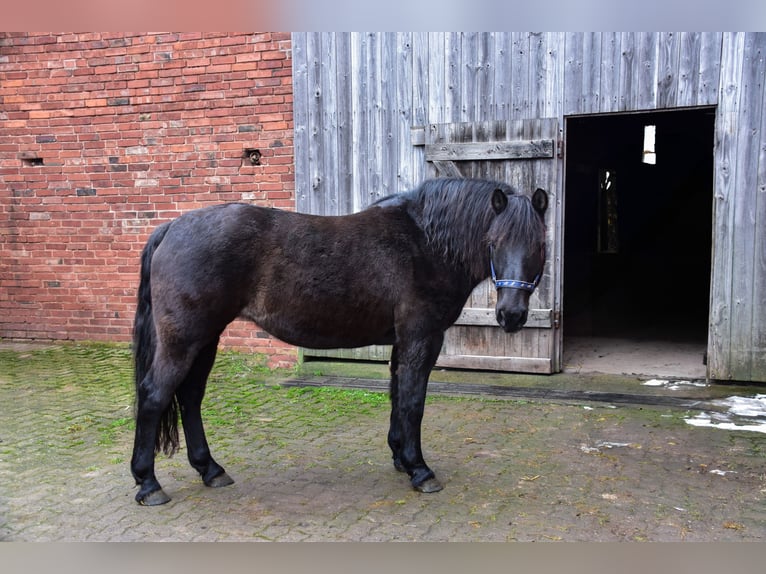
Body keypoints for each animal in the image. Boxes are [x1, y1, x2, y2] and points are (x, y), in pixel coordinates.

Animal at [130, 178, 544, 506]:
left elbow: (397, 396)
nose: (511, 315)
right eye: (494, 241)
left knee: (190, 397)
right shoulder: (422, 337)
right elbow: (413, 402)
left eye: (539, 244)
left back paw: (210, 469)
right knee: (154, 395)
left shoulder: (402, 342)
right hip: (184, 339)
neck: (424, 244)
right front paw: (420, 470)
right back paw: (149, 484)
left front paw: (400, 457)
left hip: (206, 339)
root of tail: (172, 227)